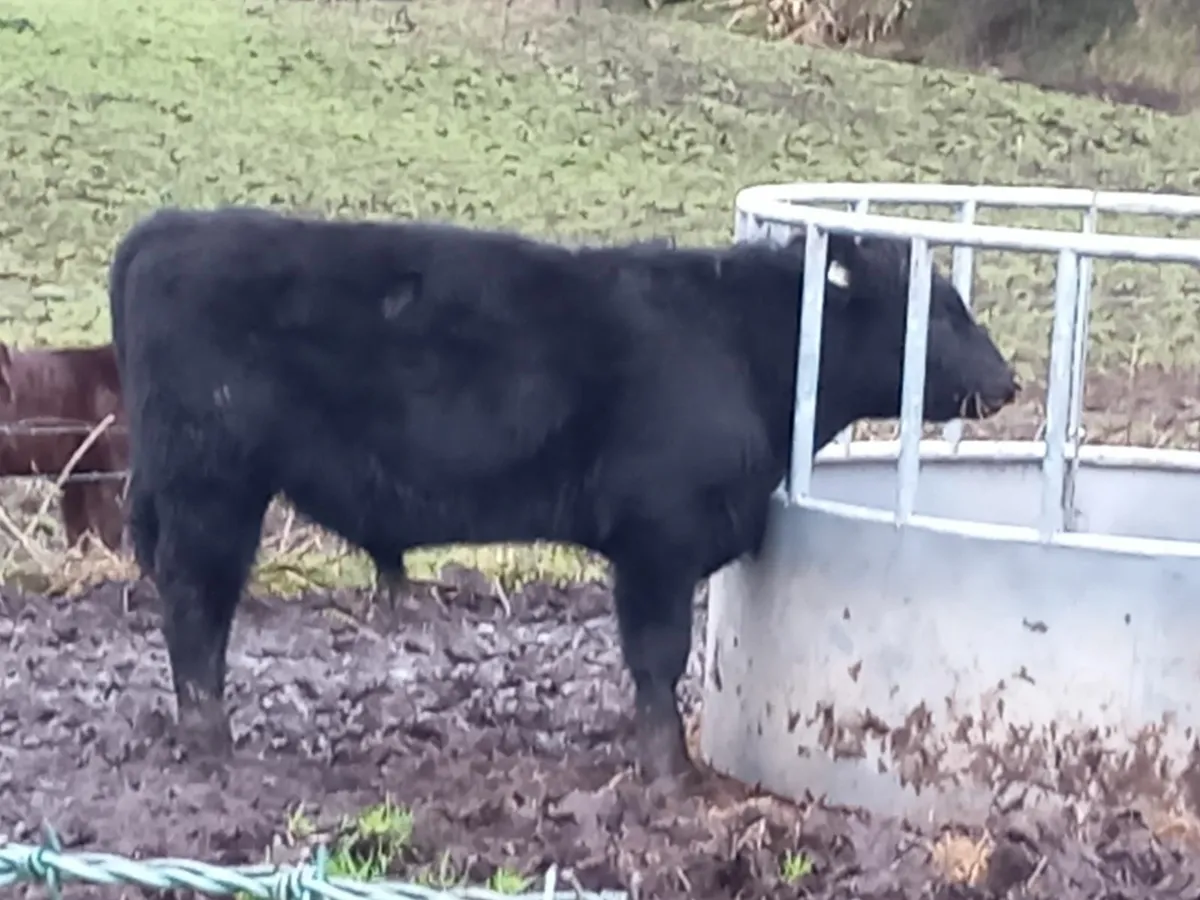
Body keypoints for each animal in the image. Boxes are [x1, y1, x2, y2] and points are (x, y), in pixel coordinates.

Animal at [107, 207, 1018, 782]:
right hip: (211, 488)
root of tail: (172, 225)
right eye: (939, 311)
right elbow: (656, 658)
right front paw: (669, 773)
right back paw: (212, 741)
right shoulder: (659, 539)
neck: (741, 345)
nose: (1008, 382)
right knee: (196, 606)